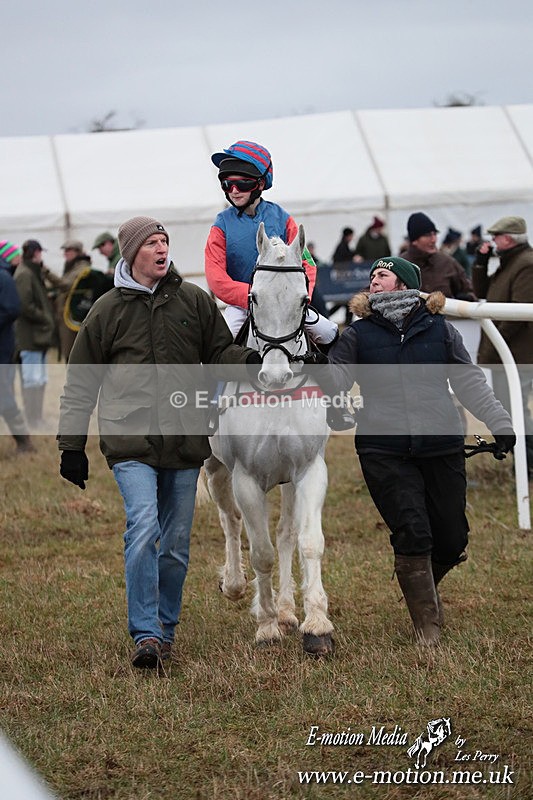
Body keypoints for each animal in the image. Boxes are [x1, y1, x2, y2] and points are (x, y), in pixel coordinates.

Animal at [204, 222, 334, 656]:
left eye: (304, 300)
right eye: (254, 296)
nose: (275, 376)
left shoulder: (309, 470)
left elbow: (306, 541)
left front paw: (315, 622)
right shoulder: (246, 478)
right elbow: (260, 551)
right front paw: (266, 625)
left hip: (287, 481)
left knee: (286, 534)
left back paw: (288, 609)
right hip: (214, 467)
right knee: (230, 520)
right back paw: (234, 584)